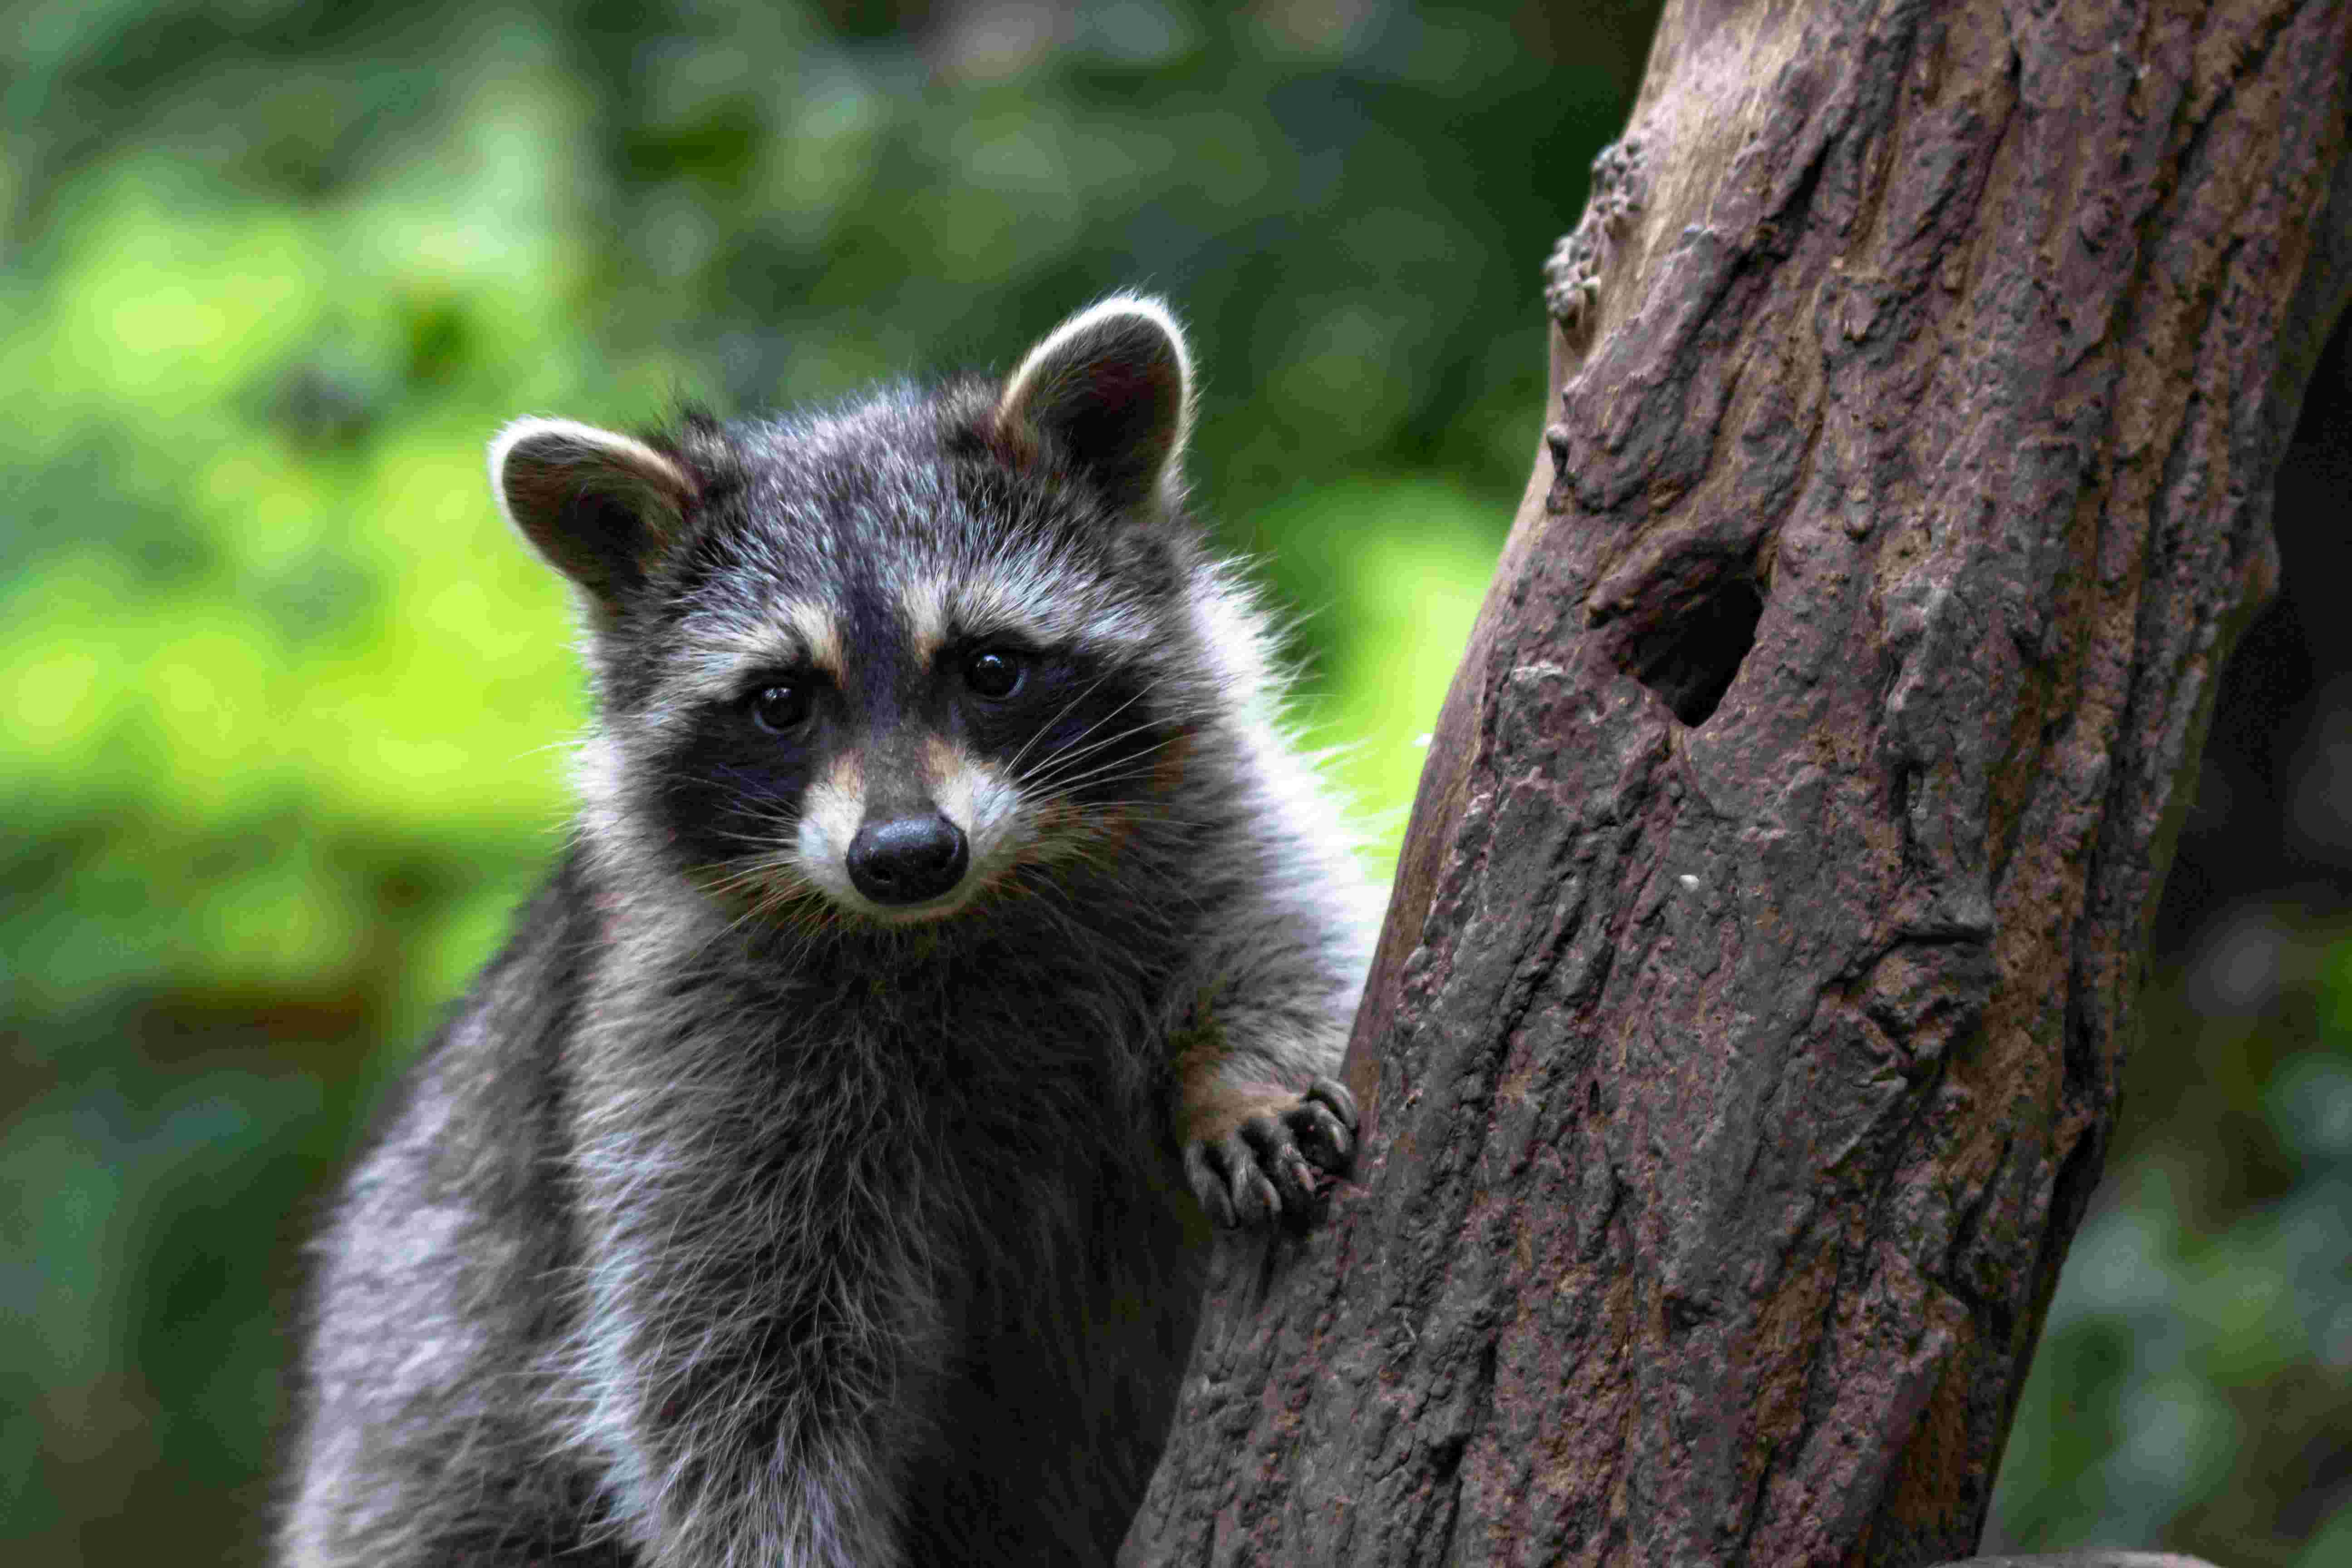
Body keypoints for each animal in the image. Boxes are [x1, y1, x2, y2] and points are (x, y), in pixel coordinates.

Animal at [280, 297, 1377, 1568]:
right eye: (779, 701)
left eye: (991, 667)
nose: (905, 854)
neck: (961, 919)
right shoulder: (691, 1054)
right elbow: (737, 1384)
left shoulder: (1208, 822)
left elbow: (1287, 936)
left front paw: (1243, 1076)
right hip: (417, 1457)